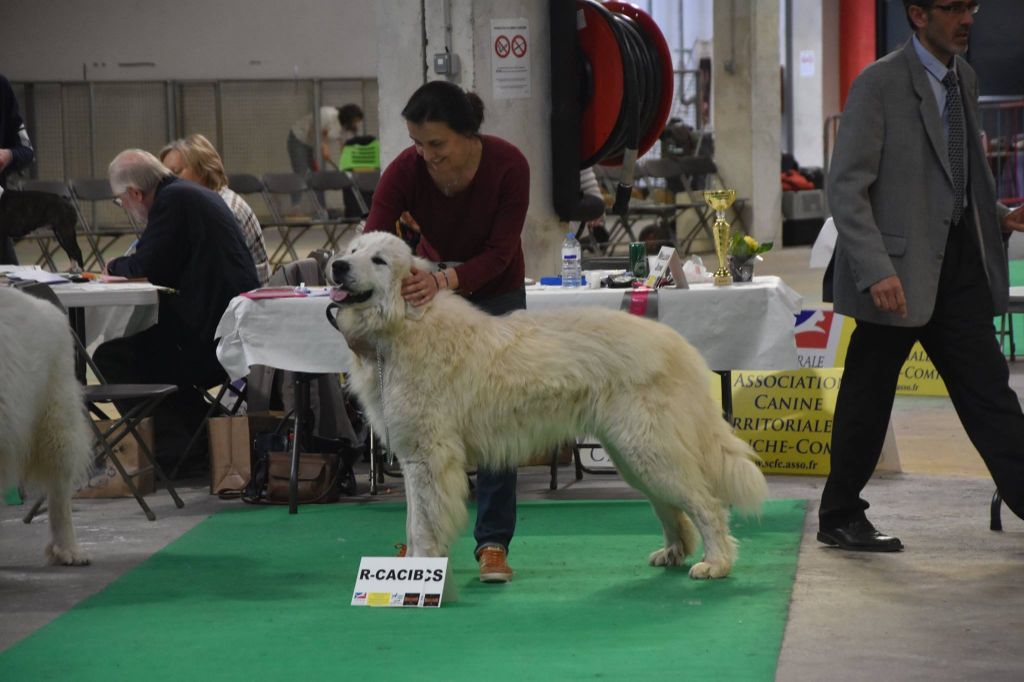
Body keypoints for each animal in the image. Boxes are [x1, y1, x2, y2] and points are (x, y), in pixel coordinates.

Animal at [327, 231, 770, 577]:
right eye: (353, 250)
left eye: (379, 260)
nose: (337, 266)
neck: (403, 322)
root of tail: (675, 343)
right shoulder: (413, 458)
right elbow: (412, 521)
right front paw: (410, 569)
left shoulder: (427, 457)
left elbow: (421, 523)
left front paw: (417, 570)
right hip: (633, 455)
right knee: (671, 507)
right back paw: (674, 552)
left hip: (647, 449)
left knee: (705, 504)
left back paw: (716, 563)